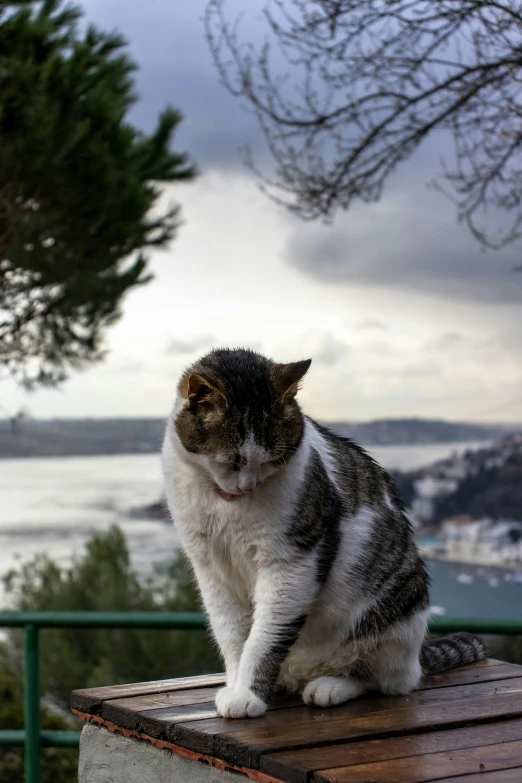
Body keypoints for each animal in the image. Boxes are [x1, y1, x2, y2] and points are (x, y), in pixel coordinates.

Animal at [160, 350, 486, 724]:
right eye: (232, 461)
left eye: (272, 460)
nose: (249, 486)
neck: (225, 506)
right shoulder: (210, 568)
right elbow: (232, 636)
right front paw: (235, 683)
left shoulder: (291, 563)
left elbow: (264, 638)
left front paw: (248, 694)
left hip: (397, 612)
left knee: (383, 681)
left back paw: (331, 685)